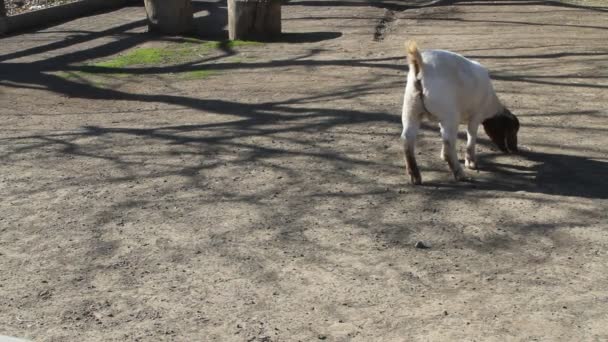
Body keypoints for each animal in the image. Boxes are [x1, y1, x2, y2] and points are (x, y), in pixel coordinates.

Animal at [402, 41, 520, 186]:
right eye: (512, 129)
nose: (515, 149)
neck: (490, 103)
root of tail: (422, 66)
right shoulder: (476, 115)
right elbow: (472, 135)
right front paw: (471, 163)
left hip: (411, 108)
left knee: (408, 139)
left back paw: (415, 177)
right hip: (449, 115)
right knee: (449, 145)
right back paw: (461, 175)